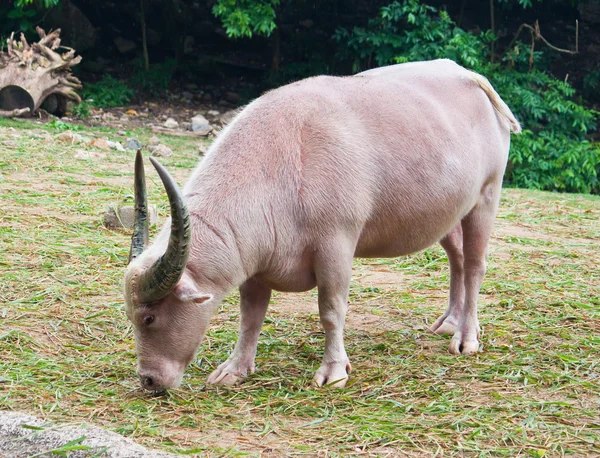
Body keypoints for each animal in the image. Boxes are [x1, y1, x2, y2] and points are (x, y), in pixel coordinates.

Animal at [123, 59, 520, 392]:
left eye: (149, 318)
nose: (148, 380)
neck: (282, 166)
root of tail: (473, 79)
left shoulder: (336, 245)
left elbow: (331, 310)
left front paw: (333, 371)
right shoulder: (255, 265)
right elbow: (250, 318)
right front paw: (235, 369)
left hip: (487, 196)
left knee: (475, 265)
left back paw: (466, 337)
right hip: (449, 213)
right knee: (456, 258)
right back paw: (450, 320)